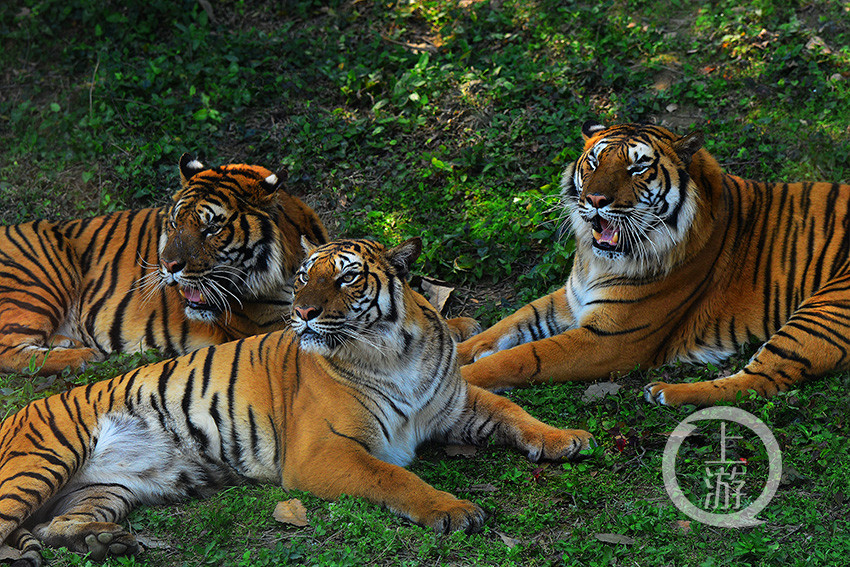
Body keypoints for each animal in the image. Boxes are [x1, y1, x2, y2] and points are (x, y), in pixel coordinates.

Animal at [0, 154, 328, 378]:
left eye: (211, 229)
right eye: (174, 224)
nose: (169, 266)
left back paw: (66, 343)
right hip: (44, 275)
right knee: (7, 349)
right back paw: (82, 357)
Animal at [0, 236, 588, 567]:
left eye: (347, 277)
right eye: (304, 276)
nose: (301, 312)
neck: (393, 350)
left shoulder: (453, 403)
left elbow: (511, 410)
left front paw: (567, 440)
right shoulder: (322, 453)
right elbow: (394, 477)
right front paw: (453, 510)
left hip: (103, 489)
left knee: (52, 526)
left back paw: (107, 544)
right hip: (43, 459)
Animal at [458, 122, 848, 408]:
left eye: (638, 167)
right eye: (594, 162)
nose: (595, 199)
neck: (598, 262)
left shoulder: (610, 340)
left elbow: (523, 355)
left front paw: (459, 377)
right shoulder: (569, 300)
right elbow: (506, 326)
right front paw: (458, 350)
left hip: (822, 312)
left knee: (762, 381)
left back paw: (666, 392)